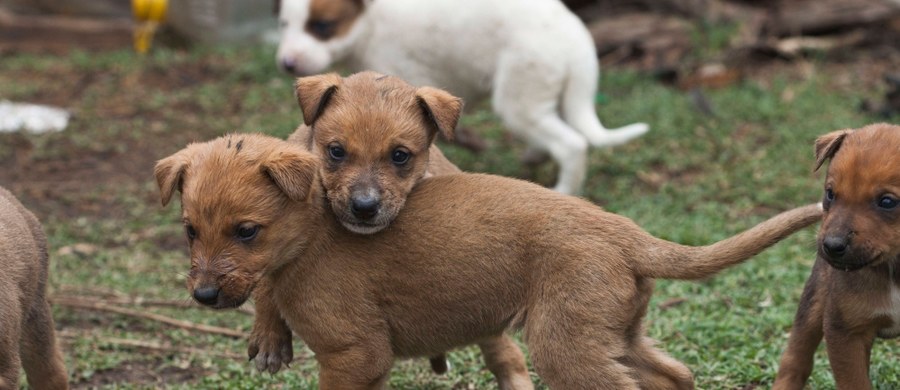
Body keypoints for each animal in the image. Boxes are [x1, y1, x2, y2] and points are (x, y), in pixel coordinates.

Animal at [156, 133, 824, 388]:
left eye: (247, 231)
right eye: (189, 231)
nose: (204, 298)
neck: (314, 236)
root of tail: (624, 230)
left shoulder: (354, 354)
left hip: (565, 344)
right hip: (612, 330)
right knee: (673, 374)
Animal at [248, 71, 528, 386]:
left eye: (400, 155)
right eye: (336, 151)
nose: (364, 206)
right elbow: (267, 277)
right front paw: (269, 338)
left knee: (504, 351)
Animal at [274, 0, 648, 195]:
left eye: (322, 27)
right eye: (284, 24)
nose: (286, 63)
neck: (370, 20)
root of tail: (578, 42)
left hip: (519, 100)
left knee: (572, 144)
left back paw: (561, 191)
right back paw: (534, 156)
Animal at [772, 123, 900, 390]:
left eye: (887, 202)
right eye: (830, 194)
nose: (832, 245)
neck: (895, 268)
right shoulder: (845, 331)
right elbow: (856, 383)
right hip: (814, 302)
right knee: (796, 357)